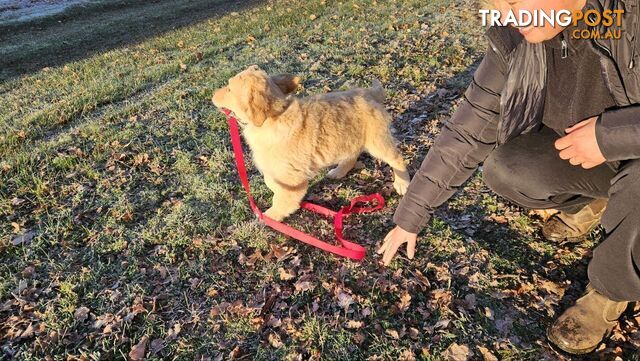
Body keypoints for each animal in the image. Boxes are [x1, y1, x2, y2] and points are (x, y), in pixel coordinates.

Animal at [210, 66, 410, 221]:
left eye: (229, 89)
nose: (212, 94)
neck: (273, 119)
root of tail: (368, 93)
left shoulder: (292, 176)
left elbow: (283, 198)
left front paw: (270, 215)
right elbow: (271, 181)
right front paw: (273, 190)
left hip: (377, 141)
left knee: (397, 158)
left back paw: (402, 183)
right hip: (348, 137)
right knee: (352, 155)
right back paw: (338, 171)